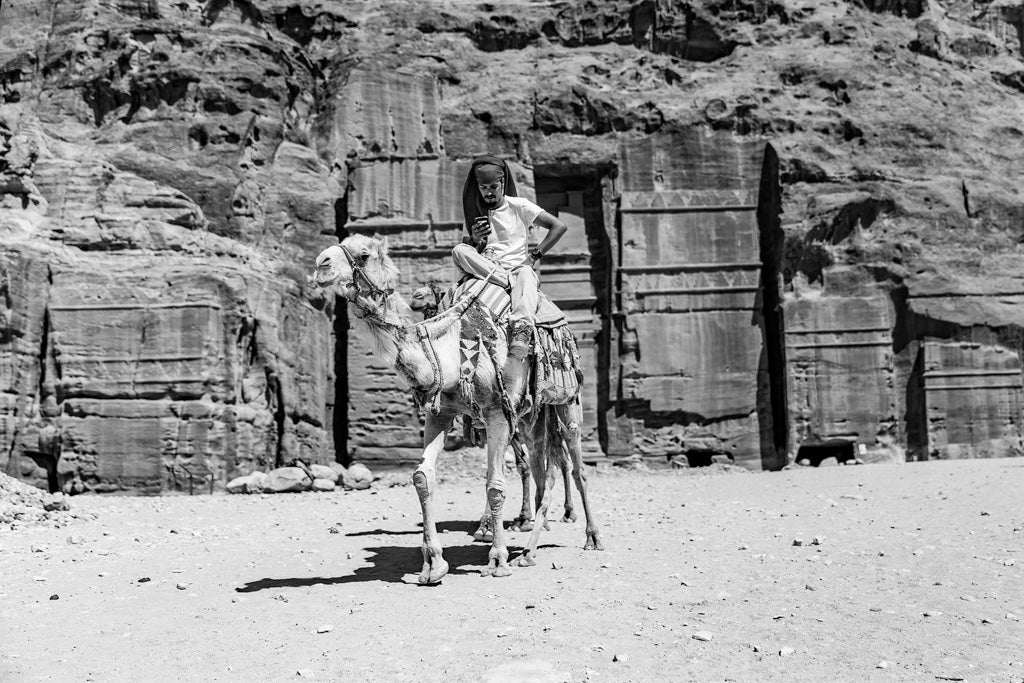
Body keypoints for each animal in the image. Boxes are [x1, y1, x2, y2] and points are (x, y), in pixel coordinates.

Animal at [311, 233, 598, 581]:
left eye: (364, 254)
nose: (320, 264)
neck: (449, 349)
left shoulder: (498, 413)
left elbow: (495, 484)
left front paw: (497, 558)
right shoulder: (442, 413)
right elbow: (422, 477)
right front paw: (433, 563)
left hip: (567, 402)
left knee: (576, 466)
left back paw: (590, 536)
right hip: (532, 416)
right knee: (546, 472)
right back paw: (528, 550)